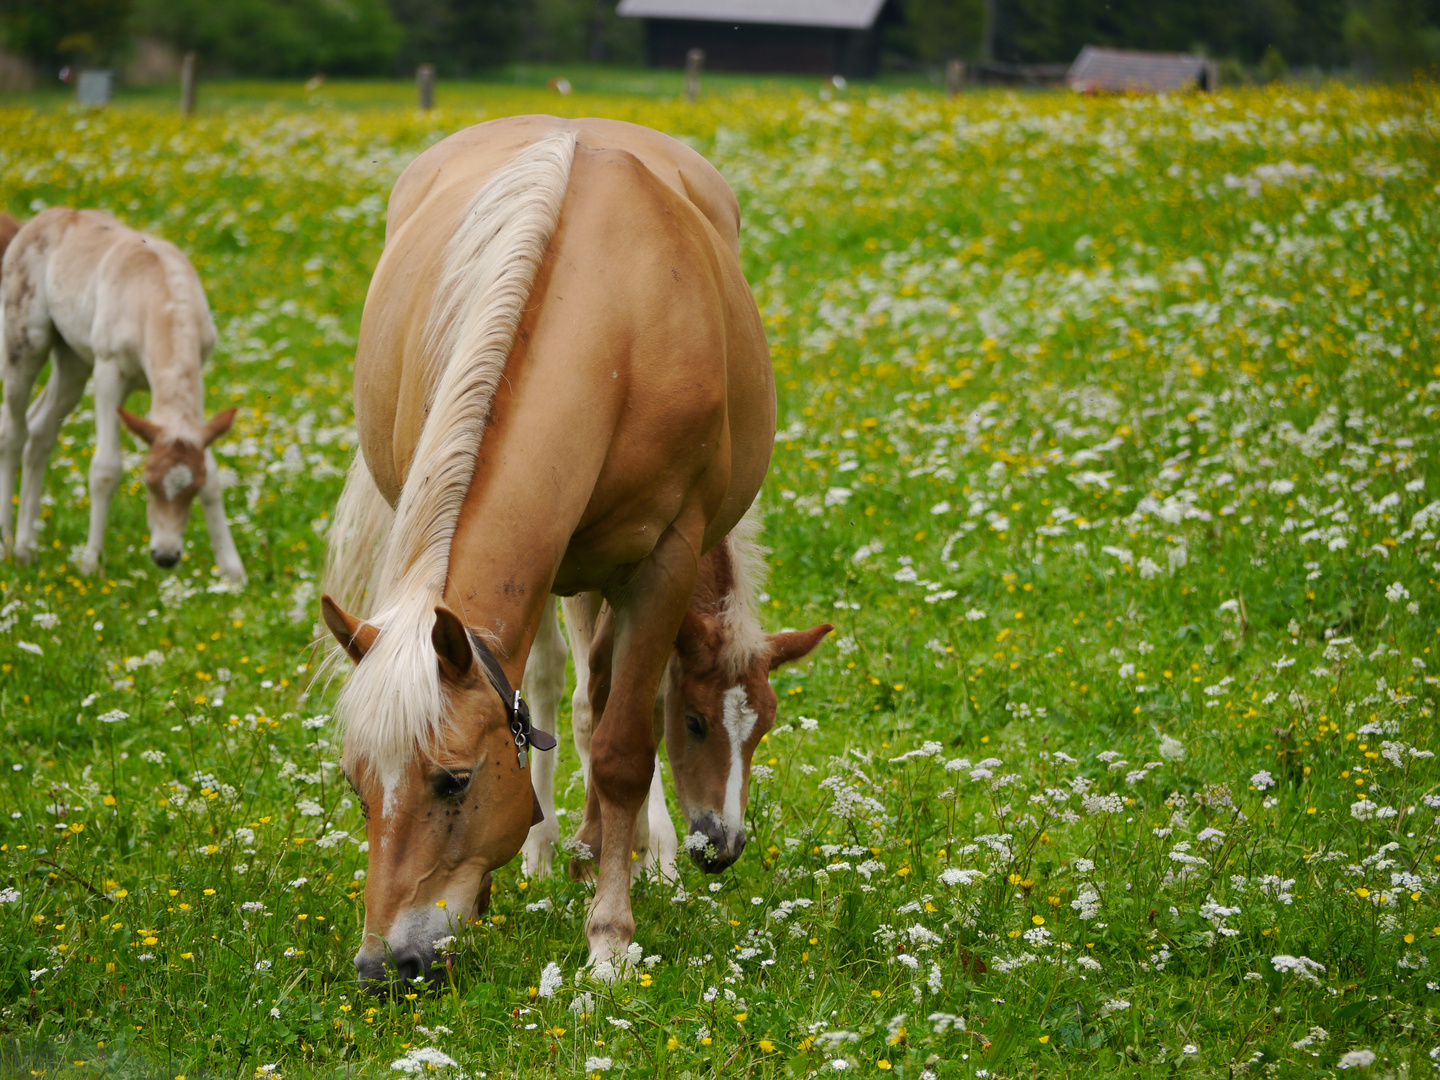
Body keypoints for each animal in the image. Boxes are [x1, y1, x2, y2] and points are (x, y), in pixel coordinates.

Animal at [0, 210, 244, 584]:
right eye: (148, 482)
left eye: (191, 488)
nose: (165, 556)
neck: (161, 297)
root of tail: (40, 219)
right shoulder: (108, 373)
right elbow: (106, 468)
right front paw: (90, 564)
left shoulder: (195, 379)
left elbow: (214, 471)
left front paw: (233, 570)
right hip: (25, 343)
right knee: (12, 433)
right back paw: (7, 545)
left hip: (73, 360)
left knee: (40, 430)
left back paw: (28, 549)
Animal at [321, 114, 823, 984]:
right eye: (357, 785)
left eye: (453, 782)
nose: (385, 968)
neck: (611, 329)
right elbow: (564, 700)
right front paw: (546, 863)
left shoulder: (659, 565)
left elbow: (624, 739)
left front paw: (610, 937)